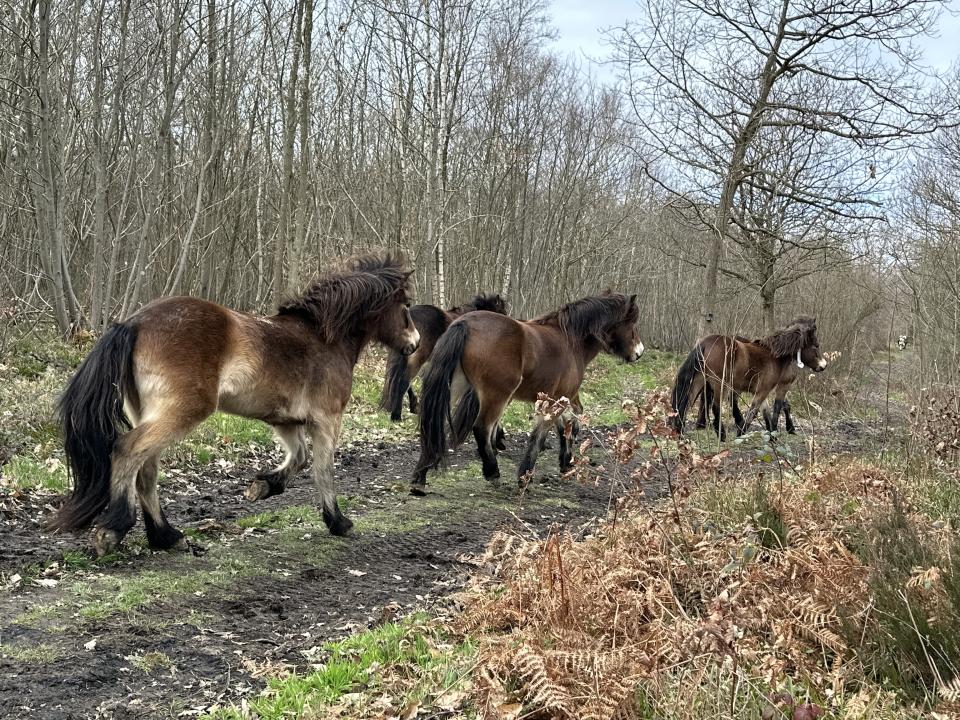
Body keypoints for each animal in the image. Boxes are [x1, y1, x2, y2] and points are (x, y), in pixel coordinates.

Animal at [51, 253, 420, 556]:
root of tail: (133, 323)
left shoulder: (286, 421)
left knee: (146, 470)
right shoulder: (327, 419)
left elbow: (299, 458)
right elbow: (323, 470)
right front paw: (338, 522)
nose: (415, 344)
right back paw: (115, 530)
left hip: (150, 413)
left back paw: (167, 537)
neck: (323, 338)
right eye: (405, 305)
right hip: (181, 411)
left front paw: (263, 486)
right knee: (127, 452)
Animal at [408, 290, 640, 492]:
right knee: (482, 428)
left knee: (434, 422)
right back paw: (492, 472)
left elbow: (563, 427)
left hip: (455, 387)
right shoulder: (558, 400)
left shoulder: (557, 399)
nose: (639, 353)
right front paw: (525, 476)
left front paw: (565, 462)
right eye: (632, 322)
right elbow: (542, 435)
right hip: (497, 396)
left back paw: (420, 476)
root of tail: (464, 323)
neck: (571, 341)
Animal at [672, 316, 828, 438]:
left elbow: (765, 412)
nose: (823, 365)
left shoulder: (762, 391)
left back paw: (681, 432)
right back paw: (721, 435)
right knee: (716, 407)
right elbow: (759, 410)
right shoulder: (769, 389)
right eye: (816, 345)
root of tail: (704, 344)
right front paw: (742, 433)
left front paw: (771, 434)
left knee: (686, 404)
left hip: (699, 381)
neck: (773, 356)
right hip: (719, 384)